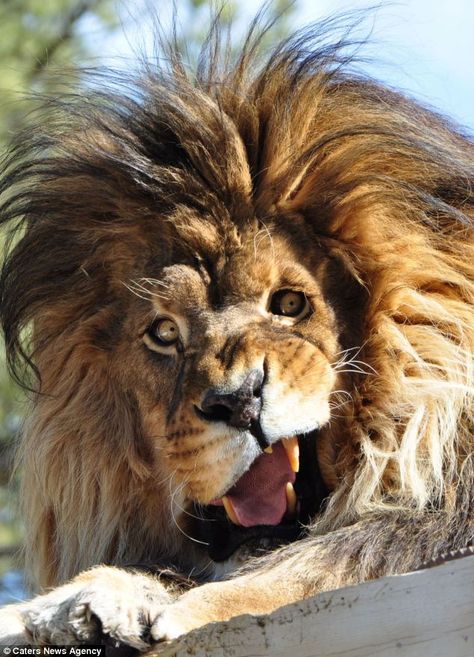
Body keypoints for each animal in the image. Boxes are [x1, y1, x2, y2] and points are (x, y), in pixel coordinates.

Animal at [0, 12, 474, 648]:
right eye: (164, 334)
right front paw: (72, 603)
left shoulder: (446, 518)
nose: (240, 401)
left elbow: (330, 559)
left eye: (290, 302)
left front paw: (180, 609)